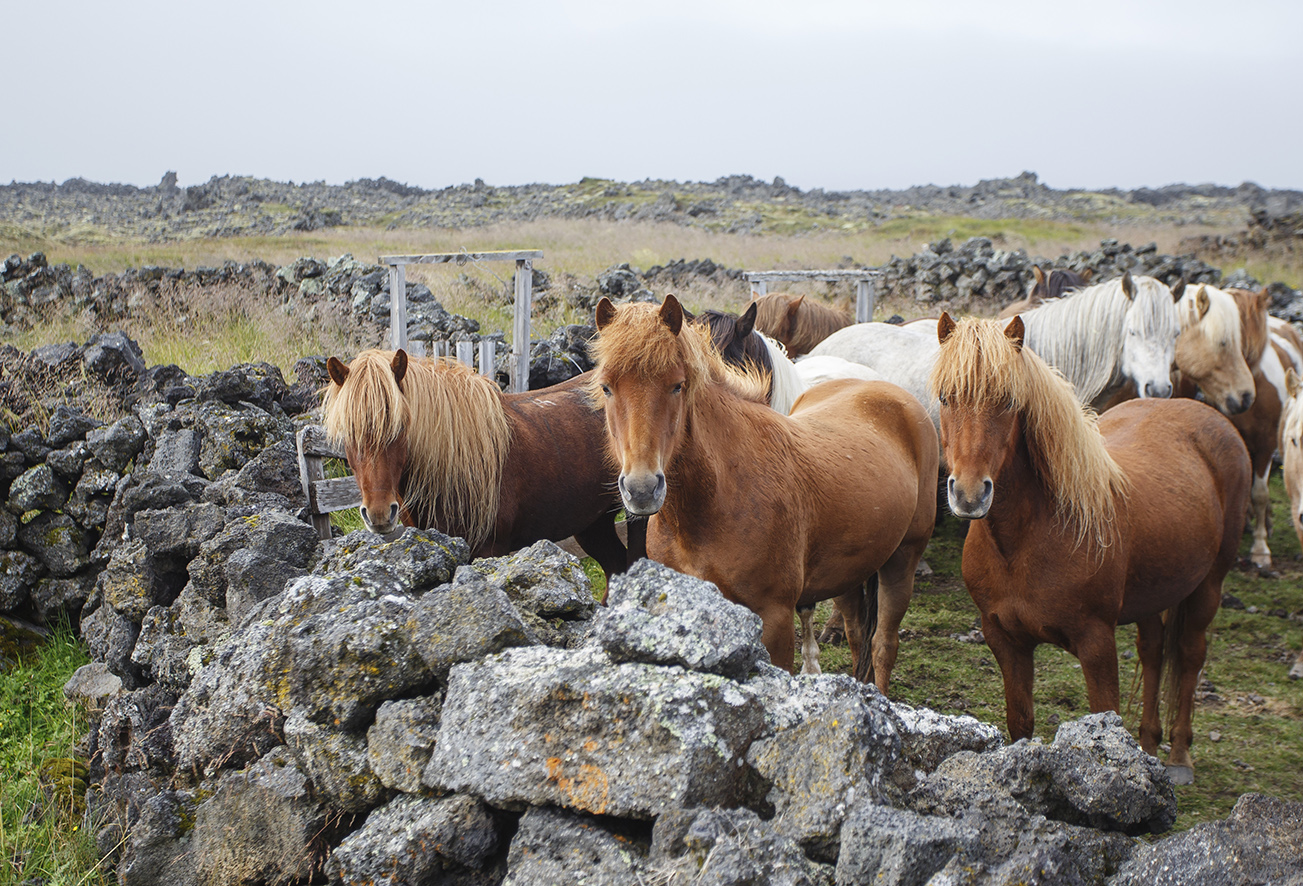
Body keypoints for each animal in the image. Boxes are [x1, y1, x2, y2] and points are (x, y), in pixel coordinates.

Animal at [591, 294, 938, 687]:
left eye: (677, 385)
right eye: (606, 387)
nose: (642, 489)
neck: (717, 499)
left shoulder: (774, 620)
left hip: (902, 560)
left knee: (883, 645)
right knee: (857, 635)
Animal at [932, 312, 1245, 781]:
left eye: (1007, 401)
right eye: (946, 398)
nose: (969, 495)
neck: (1026, 541)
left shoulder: (1096, 644)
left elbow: (1105, 718)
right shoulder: (1005, 639)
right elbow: (1020, 721)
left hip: (1208, 586)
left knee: (1190, 655)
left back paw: (1177, 757)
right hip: (1154, 592)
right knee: (1153, 652)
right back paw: (1149, 745)